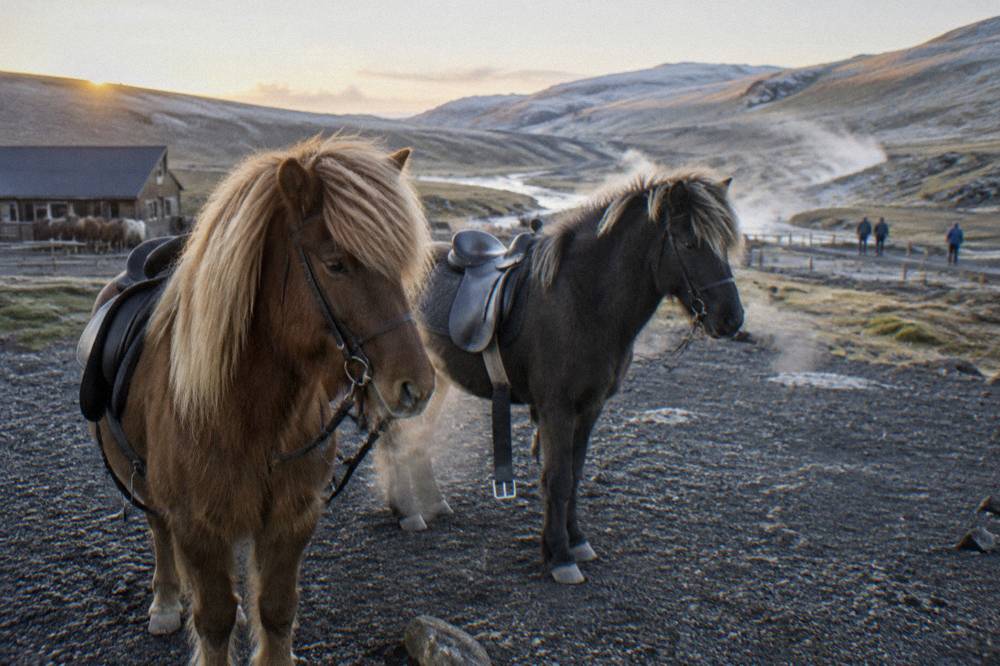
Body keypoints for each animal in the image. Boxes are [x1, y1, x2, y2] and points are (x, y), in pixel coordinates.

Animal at [86, 136, 435, 664]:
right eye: (335, 263)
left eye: (398, 266)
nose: (417, 385)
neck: (248, 416)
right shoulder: (196, 524)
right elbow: (214, 620)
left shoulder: (293, 519)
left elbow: (276, 610)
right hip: (143, 479)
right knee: (158, 531)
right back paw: (165, 602)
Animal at [379, 170, 744, 584]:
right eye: (689, 242)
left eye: (725, 244)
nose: (732, 319)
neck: (583, 300)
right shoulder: (557, 408)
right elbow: (558, 477)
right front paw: (559, 556)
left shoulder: (590, 407)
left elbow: (575, 472)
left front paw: (576, 541)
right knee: (394, 435)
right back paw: (406, 512)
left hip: (435, 383)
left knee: (417, 436)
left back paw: (433, 502)